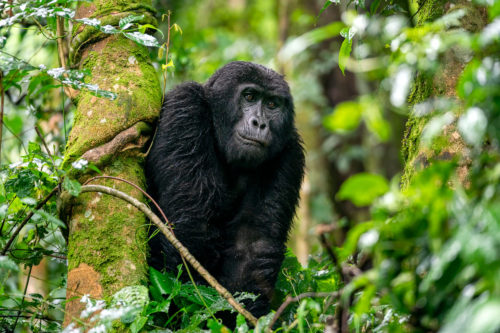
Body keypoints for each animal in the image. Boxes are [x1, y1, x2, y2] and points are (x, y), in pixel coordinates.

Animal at [146, 61, 304, 318]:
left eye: (272, 104)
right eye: (249, 97)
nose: (259, 123)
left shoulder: (290, 151)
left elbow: (253, 246)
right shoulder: (185, 107)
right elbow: (192, 227)